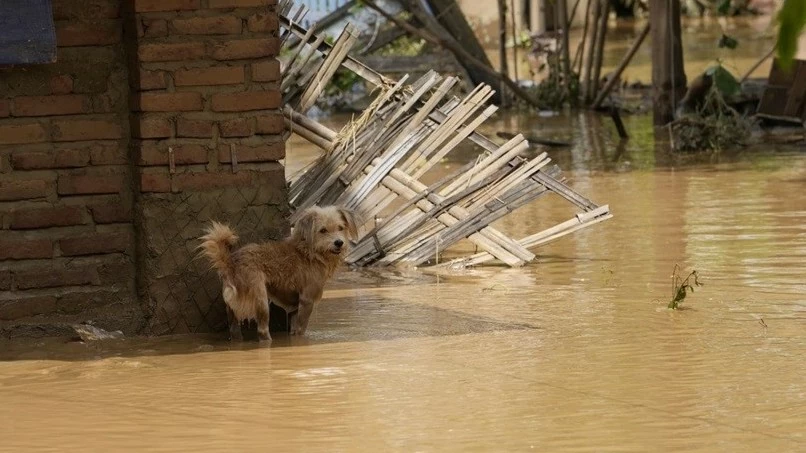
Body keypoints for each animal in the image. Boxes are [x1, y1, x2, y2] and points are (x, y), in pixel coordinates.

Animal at [199, 204, 360, 340]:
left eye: (341, 228)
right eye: (323, 230)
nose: (339, 242)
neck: (309, 252)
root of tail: (231, 263)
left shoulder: (296, 308)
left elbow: (294, 329)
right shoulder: (307, 300)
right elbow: (301, 330)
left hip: (232, 311)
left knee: (234, 331)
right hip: (261, 300)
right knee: (262, 331)